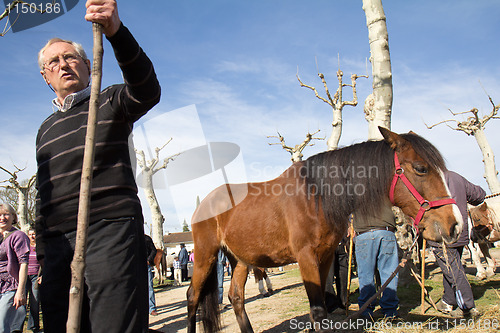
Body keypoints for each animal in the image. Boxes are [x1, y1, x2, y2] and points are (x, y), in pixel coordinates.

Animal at [187, 126, 460, 330]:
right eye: (421, 168)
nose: (454, 225)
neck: (315, 196)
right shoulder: (305, 257)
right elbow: (317, 311)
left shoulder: (326, 256)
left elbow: (324, 307)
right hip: (205, 255)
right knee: (192, 297)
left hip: (241, 259)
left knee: (236, 297)